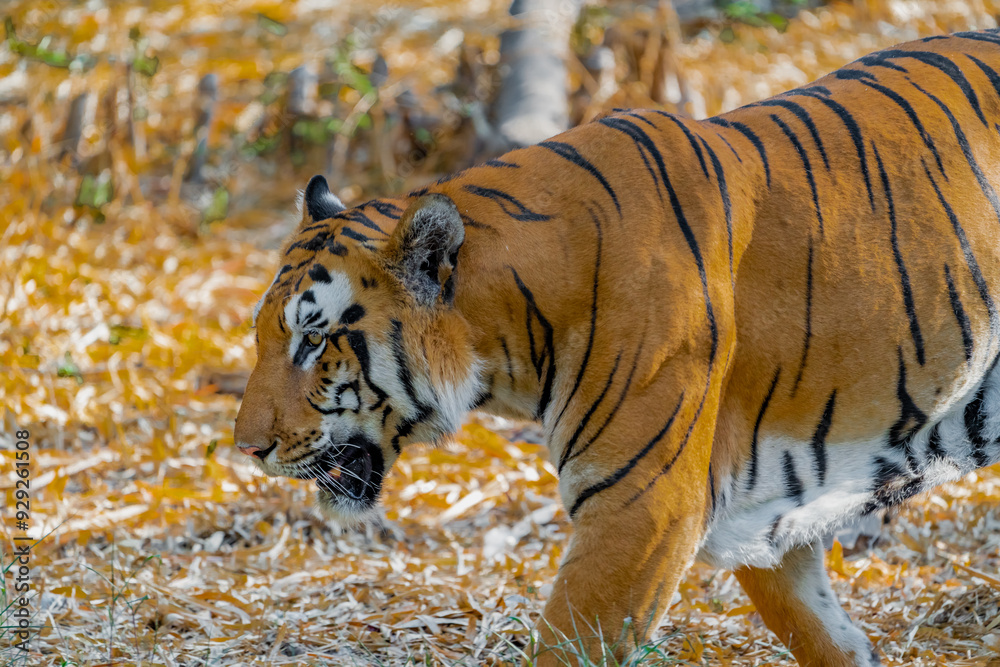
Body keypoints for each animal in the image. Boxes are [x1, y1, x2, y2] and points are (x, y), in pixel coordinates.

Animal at [234, 30, 1000, 666]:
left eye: (314, 339)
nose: (247, 448)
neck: (508, 332)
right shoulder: (774, 510)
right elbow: (825, 635)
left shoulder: (642, 509)